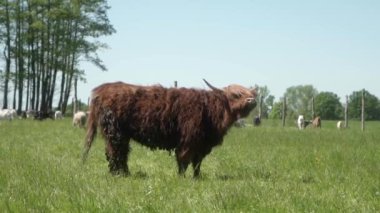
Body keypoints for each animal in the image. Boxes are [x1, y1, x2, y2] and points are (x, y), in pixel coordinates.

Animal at [81, 79, 256, 177]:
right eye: (236, 95)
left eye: (251, 93)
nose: (252, 100)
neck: (211, 110)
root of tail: (101, 90)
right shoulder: (188, 140)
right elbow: (184, 160)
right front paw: (181, 178)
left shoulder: (202, 144)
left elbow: (197, 163)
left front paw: (198, 177)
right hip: (115, 131)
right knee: (115, 153)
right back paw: (119, 175)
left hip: (119, 134)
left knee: (119, 153)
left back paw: (123, 173)